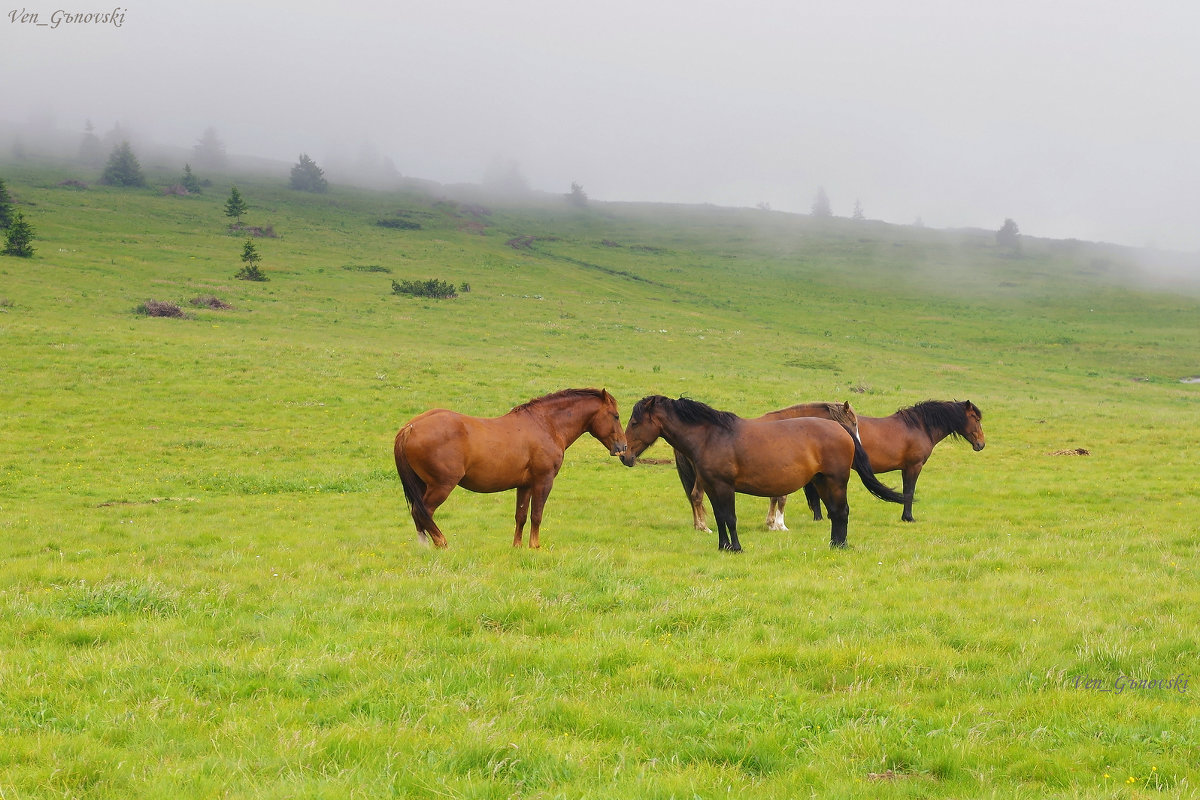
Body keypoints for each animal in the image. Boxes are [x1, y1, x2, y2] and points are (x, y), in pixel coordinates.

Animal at [396, 388, 628, 551]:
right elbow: (536, 515)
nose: (623, 448)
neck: (546, 424)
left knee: (418, 514)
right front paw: (535, 546)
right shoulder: (543, 481)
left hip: (423, 485)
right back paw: (441, 543)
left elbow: (521, 515)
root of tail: (410, 427)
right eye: (616, 416)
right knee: (424, 512)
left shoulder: (524, 485)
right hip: (441, 485)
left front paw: (517, 546)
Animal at [676, 400, 864, 532]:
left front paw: (771, 523)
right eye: (854, 423)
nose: (857, 445)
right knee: (697, 496)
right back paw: (703, 526)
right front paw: (779, 525)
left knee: (693, 496)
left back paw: (698, 525)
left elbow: (774, 497)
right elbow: (781, 498)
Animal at [777, 398, 984, 525]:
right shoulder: (913, 467)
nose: (981, 444)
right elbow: (909, 491)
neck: (919, 426)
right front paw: (908, 517)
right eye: (975, 418)